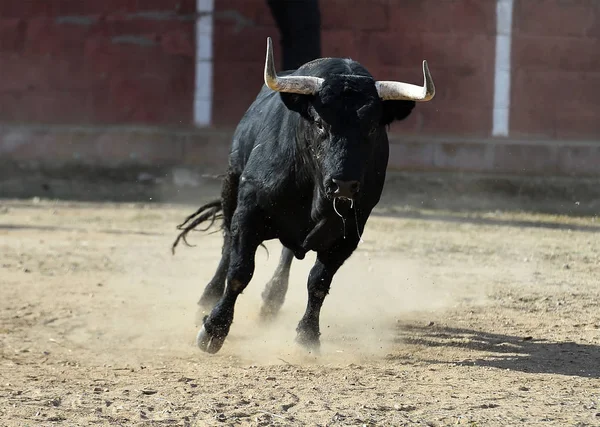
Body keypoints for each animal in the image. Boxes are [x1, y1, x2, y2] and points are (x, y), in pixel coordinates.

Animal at [171, 37, 434, 354]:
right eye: (320, 123)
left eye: (372, 127)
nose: (343, 185)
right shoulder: (248, 213)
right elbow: (240, 270)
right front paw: (213, 330)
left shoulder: (350, 231)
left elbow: (318, 281)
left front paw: (307, 337)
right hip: (231, 184)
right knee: (225, 247)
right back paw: (207, 299)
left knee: (287, 254)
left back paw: (272, 300)